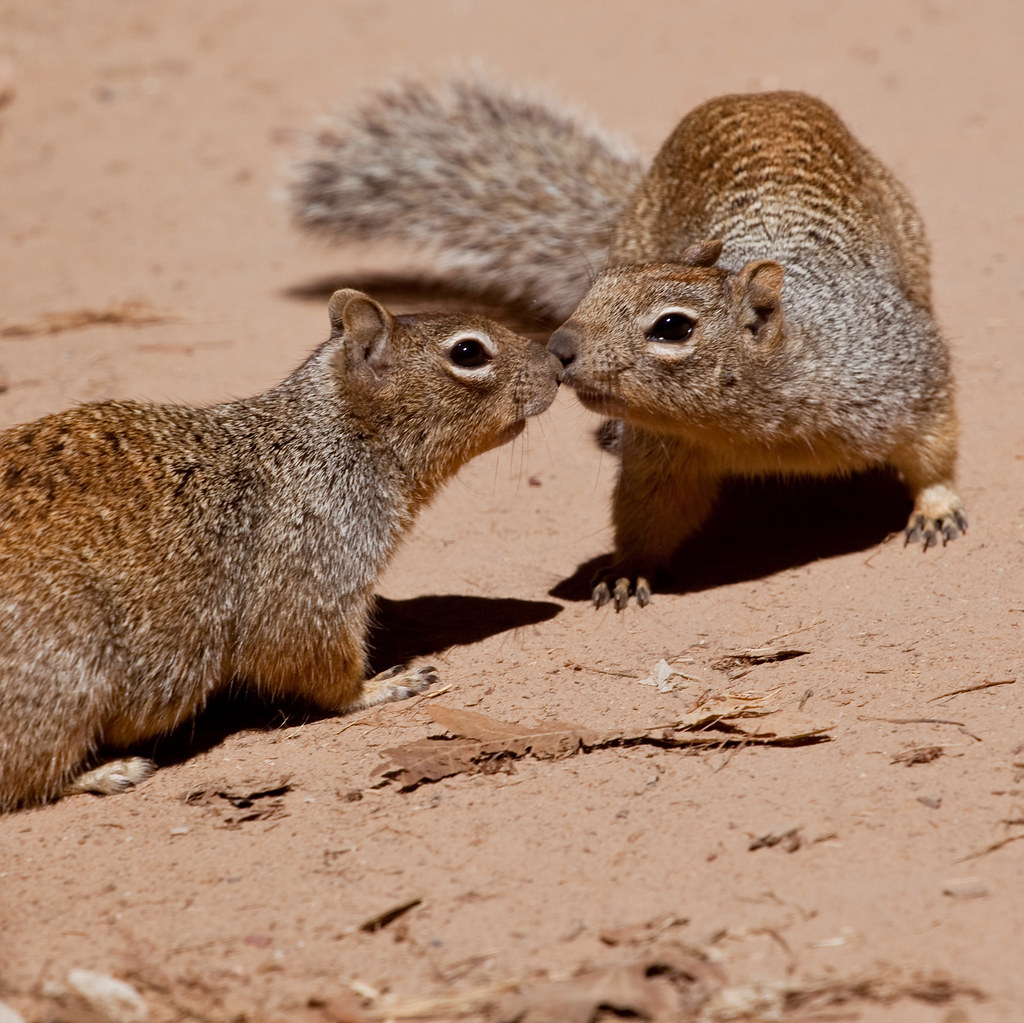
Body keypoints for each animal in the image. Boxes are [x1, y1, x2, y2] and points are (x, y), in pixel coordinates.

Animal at [0, 289, 560, 811]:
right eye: (468, 352)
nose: (558, 366)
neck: (333, 438)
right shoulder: (310, 572)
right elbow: (312, 660)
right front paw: (380, 686)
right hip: (67, 678)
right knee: (27, 778)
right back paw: (108, 772)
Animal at [290, 83, 965, 610]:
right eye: (600, 284)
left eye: (673, 328)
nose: (558, 348)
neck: (754, 424)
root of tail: (760, 97)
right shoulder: (661, 458)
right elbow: (646, 514)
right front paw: (626, 571)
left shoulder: (904, 373)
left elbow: (935, 445)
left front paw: (936, 508)